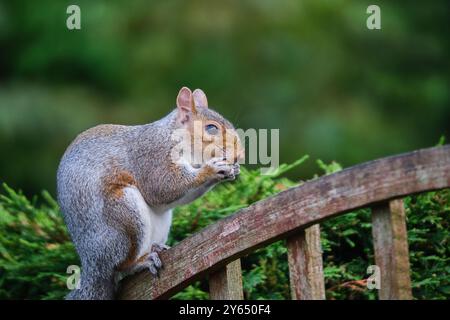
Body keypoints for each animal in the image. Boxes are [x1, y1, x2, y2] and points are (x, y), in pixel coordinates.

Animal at [59, 86, 246, 298]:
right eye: (211, 128)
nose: (240, 154)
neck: (174, 135)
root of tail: (92, 265)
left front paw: (232, 170)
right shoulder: (153, 157)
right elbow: (162, 187)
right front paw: (211, 170)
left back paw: (156, 248)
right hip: (124, 215)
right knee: (120, 267)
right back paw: (141, 261)